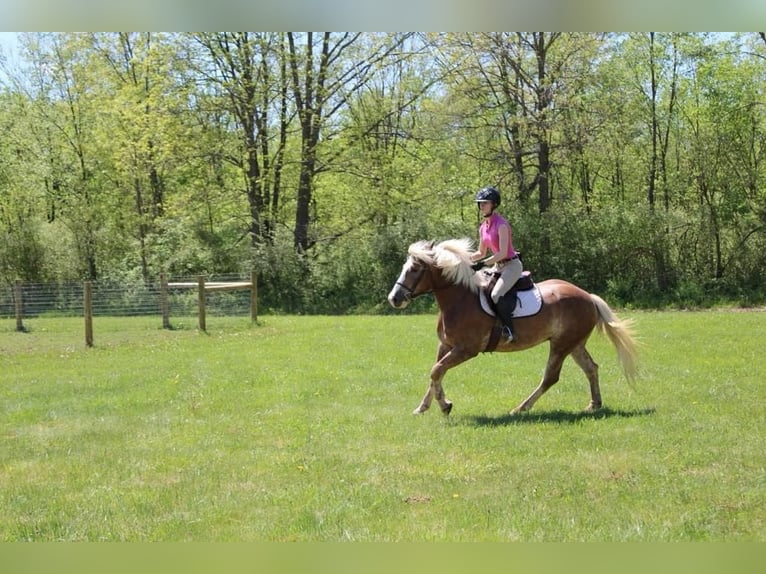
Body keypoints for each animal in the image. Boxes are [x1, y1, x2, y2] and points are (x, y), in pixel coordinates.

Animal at [388, 238, 640, 418]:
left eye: (414, 269)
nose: (394, 299)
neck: (459, 299)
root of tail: (587, 296)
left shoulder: (466, 349)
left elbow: (436, 370)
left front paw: (445, 405)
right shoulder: (446, 345)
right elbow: (435, 373)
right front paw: (423, 407)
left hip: (562, 344)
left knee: (551, 377)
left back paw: (521, 408)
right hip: (574, 343)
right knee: (591, 368)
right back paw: (594, 404)